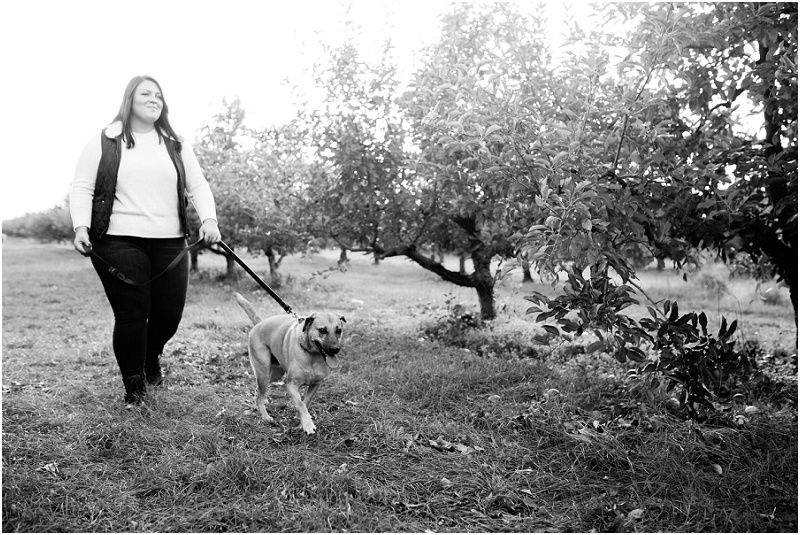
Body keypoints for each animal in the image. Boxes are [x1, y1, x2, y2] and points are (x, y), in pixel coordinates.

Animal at [234, 292, 346, 435]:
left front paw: (300, 420)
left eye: (338, 330)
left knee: (258, 392)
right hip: (264, 373)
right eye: (322, 330)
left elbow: (306, 402)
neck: (312, 356)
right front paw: (308, 424)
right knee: (260, 395)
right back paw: (265, 417)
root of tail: (259, 324)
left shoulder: (316, 384)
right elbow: (300, 404)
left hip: (275, 374)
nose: (335, 349)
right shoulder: (291, 385)